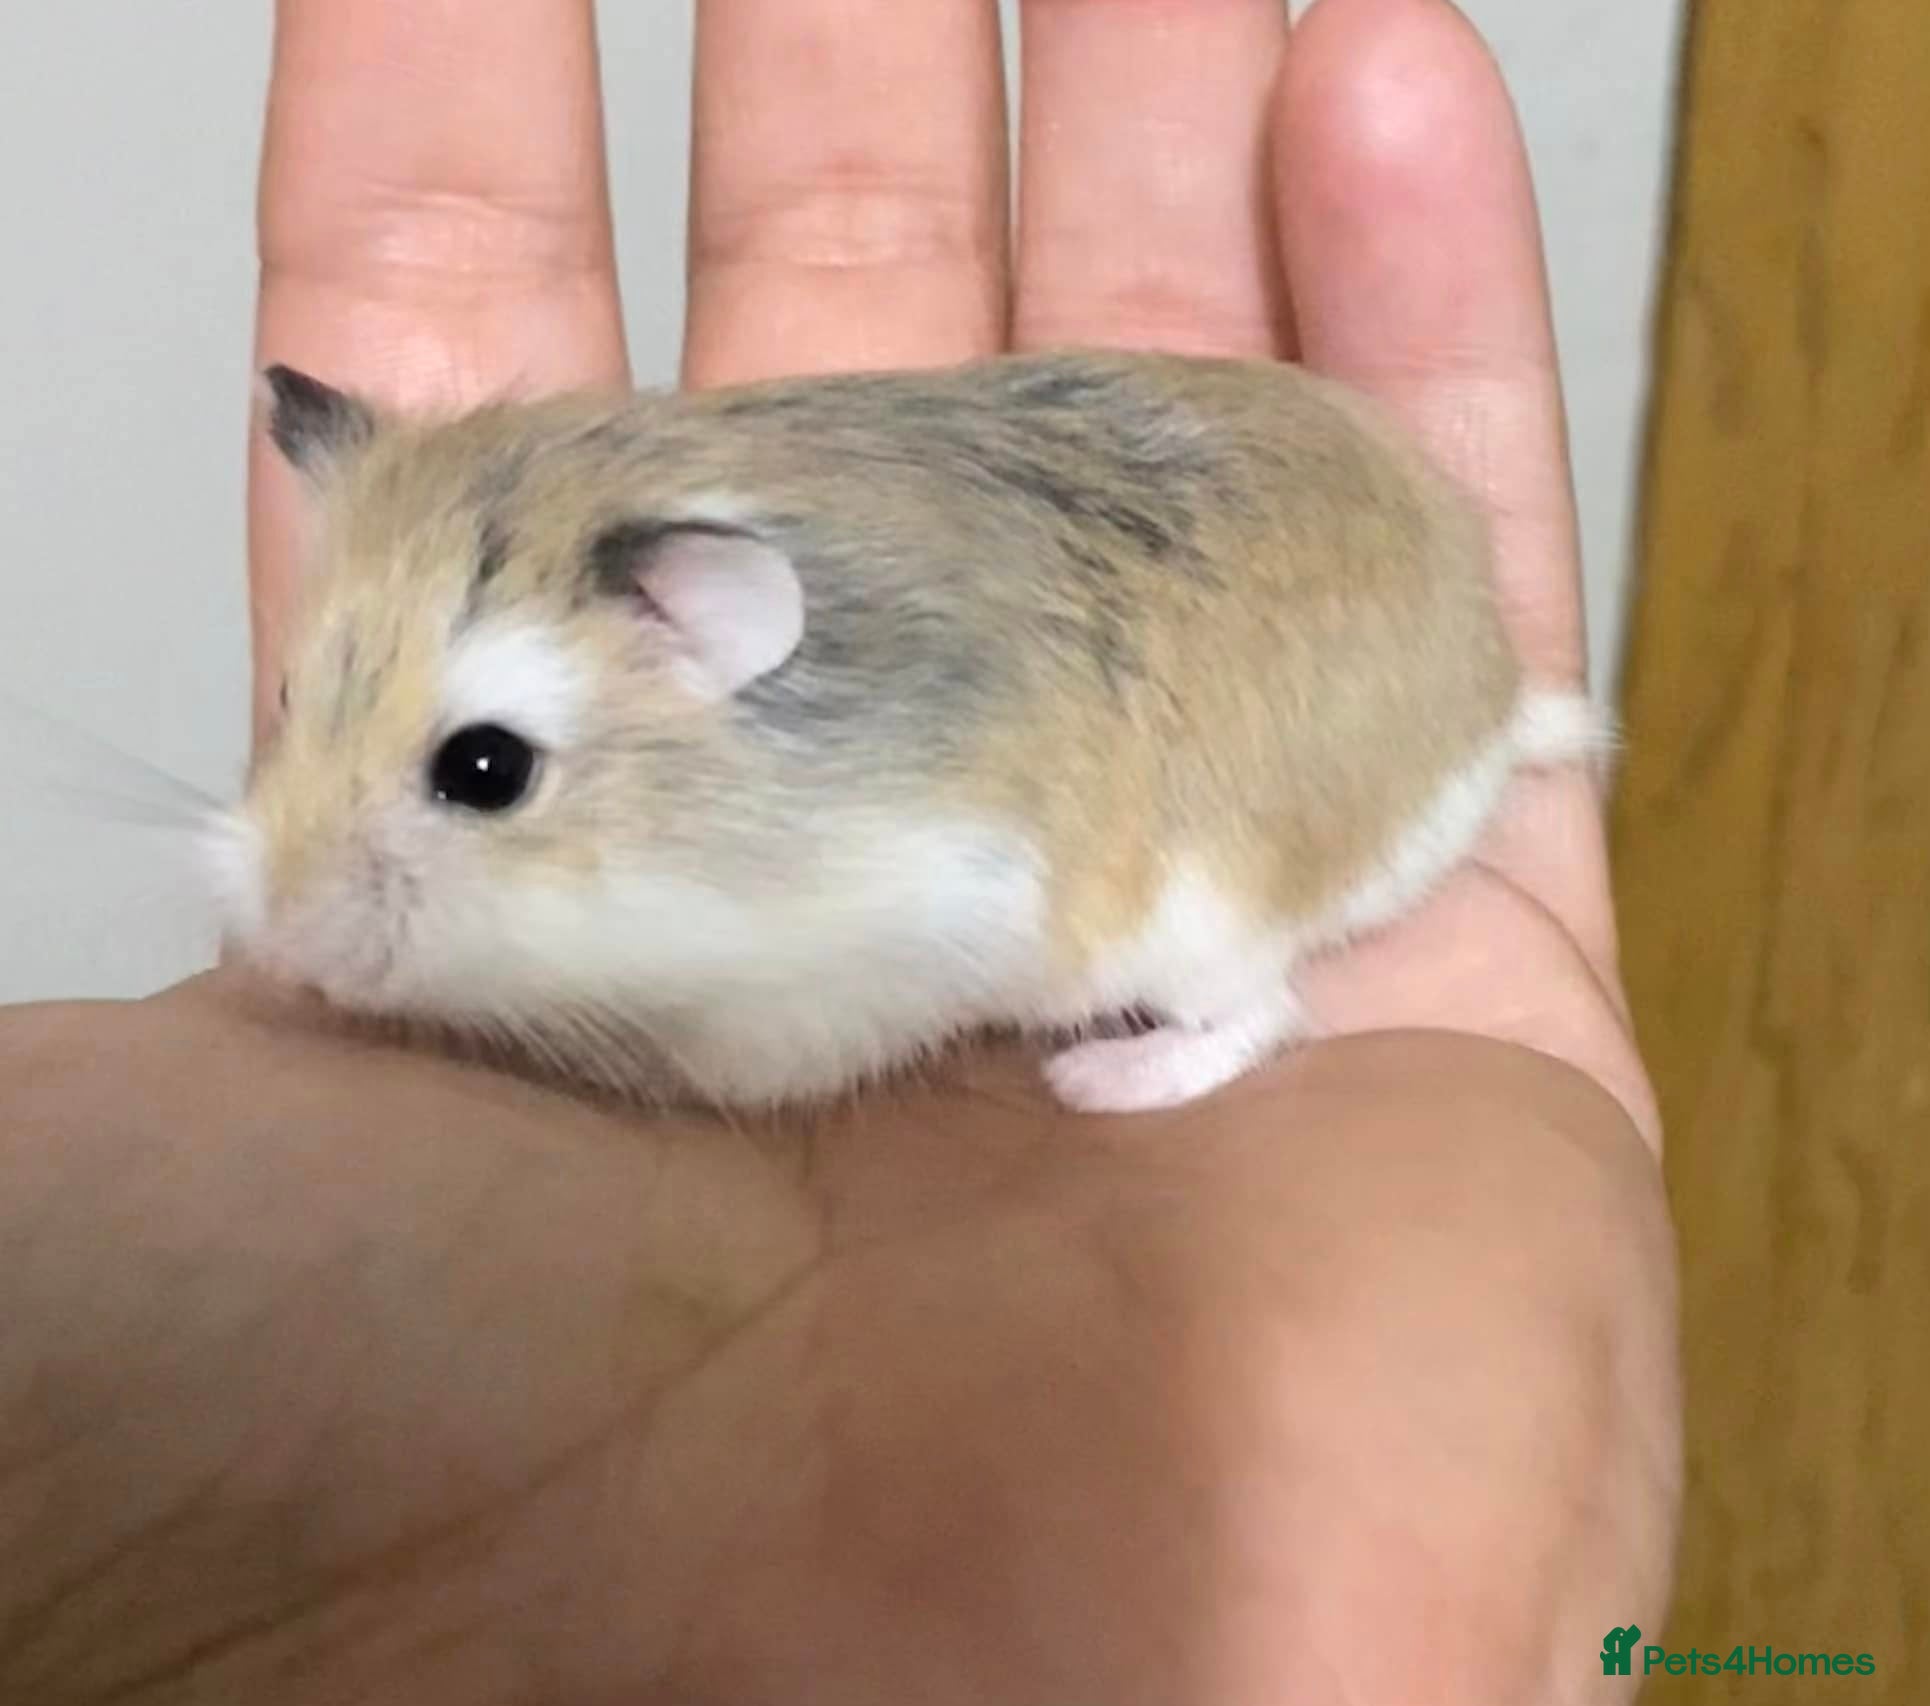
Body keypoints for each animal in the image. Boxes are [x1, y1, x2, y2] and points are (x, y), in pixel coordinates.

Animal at [209, 350, 1605, 1115]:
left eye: (484, 769)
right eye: (283, 700)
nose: (283, 948)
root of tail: (1485, 711)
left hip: (1198, 921)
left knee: (1261, 1017)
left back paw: (1095, 1086)